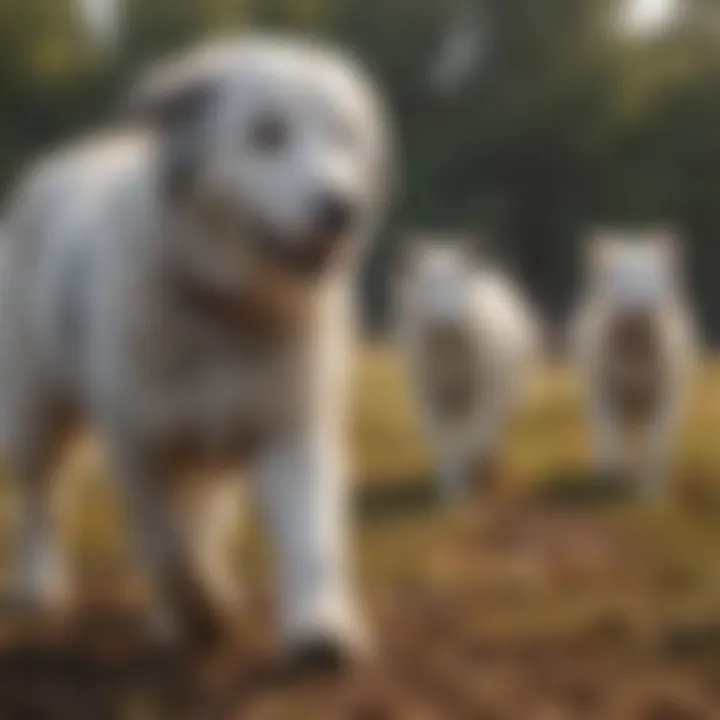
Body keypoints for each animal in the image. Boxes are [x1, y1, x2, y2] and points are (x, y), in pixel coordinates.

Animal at [0, 35, 390, 664]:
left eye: (344, 136)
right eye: (267, 133)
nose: (342, 209)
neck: (224, 310)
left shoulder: (289, 428)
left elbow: (309, 537)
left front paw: (318, 626)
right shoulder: (140, 442)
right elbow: (168, 543)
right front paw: (200, 613)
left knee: (202, 514)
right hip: (35, 412)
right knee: (42, 499)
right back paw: (40, 583)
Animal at [394, 236, 540, 500]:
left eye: (457, 285)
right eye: (427, 286)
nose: (442, 322)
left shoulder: (485, 396)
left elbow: (472, 435)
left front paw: (469, 479)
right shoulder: (430, 398)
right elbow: (445, 443)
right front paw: (450, 490)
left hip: (503, 396)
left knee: (490, 432)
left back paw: (486, 466)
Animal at [572, 228, 696, 498]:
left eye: (654, 278)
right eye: (619, 279)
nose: (640, 307)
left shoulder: (665, 393)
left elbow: (656, 442)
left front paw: (650, 492)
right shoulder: (605, 389)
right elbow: (612, 434)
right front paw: (614, 478)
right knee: (607, 433)